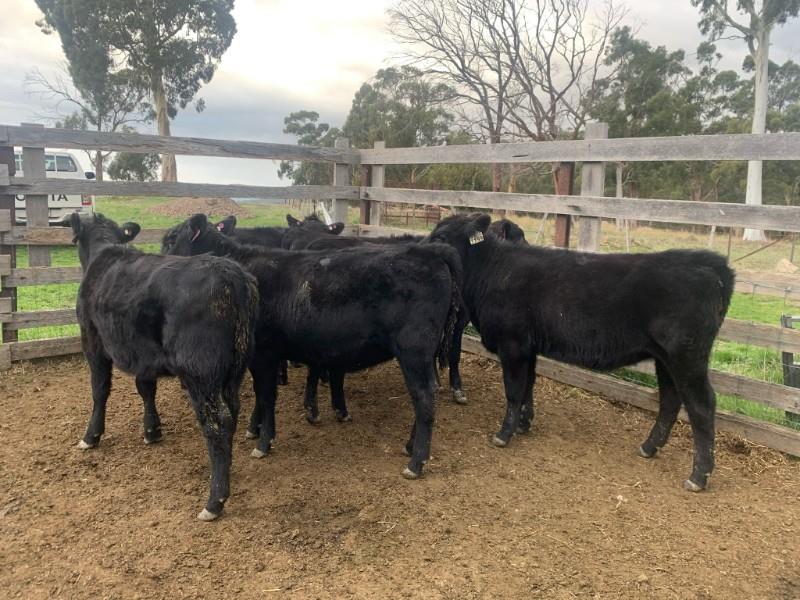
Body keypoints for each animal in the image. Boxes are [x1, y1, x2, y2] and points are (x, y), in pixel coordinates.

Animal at [71, 213, 259, 521]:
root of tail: (232, 275)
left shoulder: (93, 341)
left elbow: (100, 390)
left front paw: (91, 435)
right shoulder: (143, 355)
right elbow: (146, 389)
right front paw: (152, 430)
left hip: (200, 374)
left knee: (217, 423)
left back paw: (214, 500)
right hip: (234, 371)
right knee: (232, 413)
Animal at [162, 214, 462, 479]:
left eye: (171, 239)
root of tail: (430, 251)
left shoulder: (264, 354)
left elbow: (266, 395)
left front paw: (263, 442)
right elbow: (262, 396)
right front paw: (255, 429)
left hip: (414, 350)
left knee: (424, 398)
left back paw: (416, 462)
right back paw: (410, 447)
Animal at [426, 212, 734, 492]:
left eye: (441, 237)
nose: (421, 249)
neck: (495, 271)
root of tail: (709, 263)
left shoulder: (512, 344)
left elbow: (513, 390)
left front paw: (504, 433)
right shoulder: (529, 346)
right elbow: (528, 386)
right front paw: (524, 423)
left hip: (686, 356)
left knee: (702, 406)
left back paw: (698, 476)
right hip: (665, 358)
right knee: (670, 399)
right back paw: (649, 447)